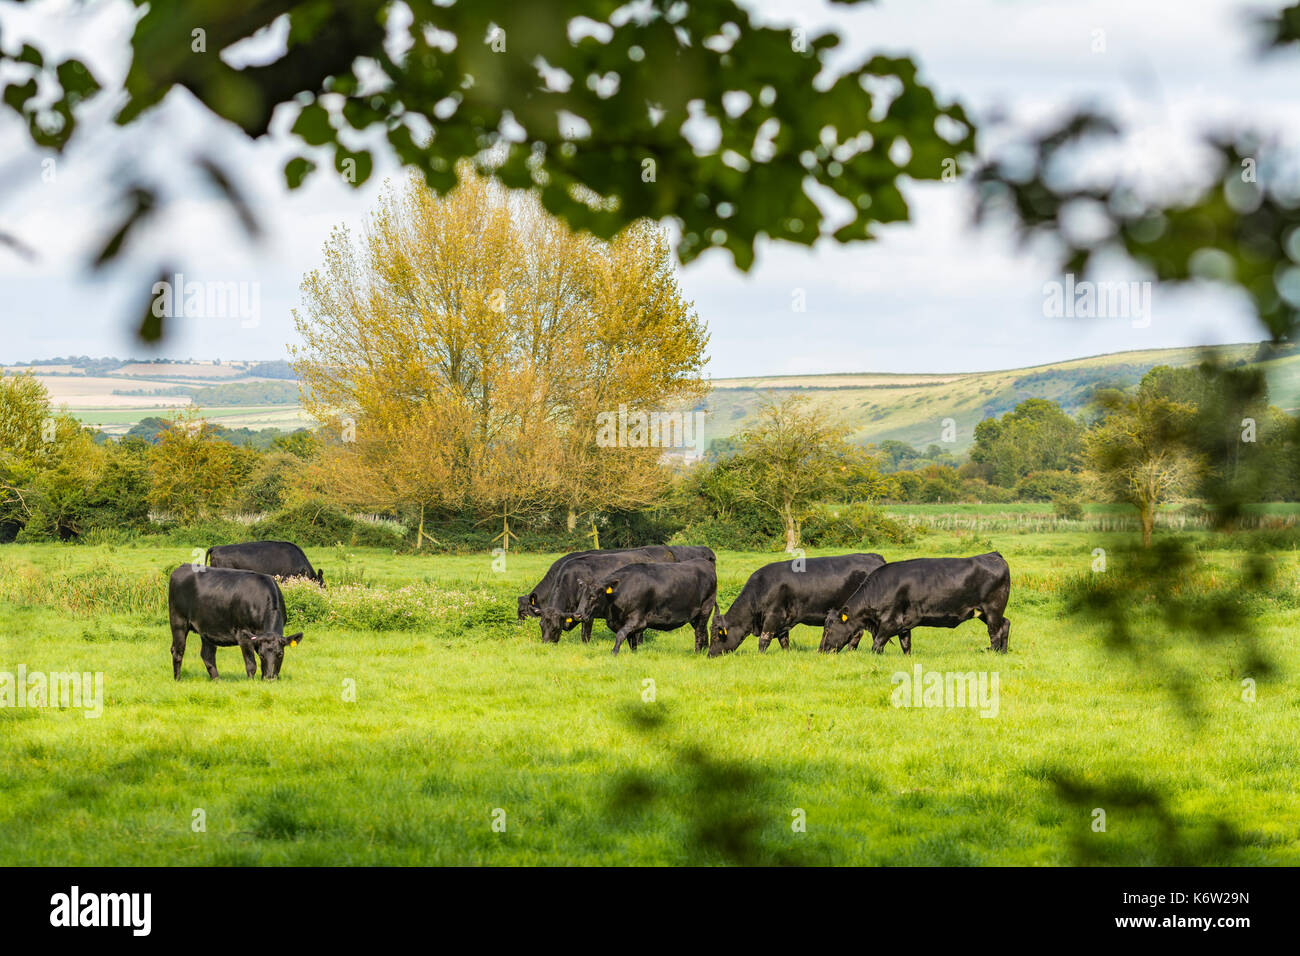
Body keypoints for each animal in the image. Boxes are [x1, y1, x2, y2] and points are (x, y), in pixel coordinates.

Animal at [167, 567, 304, 681]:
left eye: (280, 654)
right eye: (261, 655)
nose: (269, 678)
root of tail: (181, 568)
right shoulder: (243, 634)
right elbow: (251, 665)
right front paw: (252, 683)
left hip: (206, 627)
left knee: (207, 655)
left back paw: (217, 680)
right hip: (178, 621)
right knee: (178, 651)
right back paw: (178, 679)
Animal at [577, 556, 722, 655]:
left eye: (593, 596)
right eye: (581, 596)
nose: (578, 614)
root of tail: (704, 562)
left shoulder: (637, 619)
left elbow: (620, 635)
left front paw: (614, 652)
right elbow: (632, 641)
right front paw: (633, 654)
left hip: (706, 608)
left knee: (699, 631)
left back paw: (697, 652)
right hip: (695, 615)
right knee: (703, 630)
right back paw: (704, 650)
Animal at [707, 554, 889, 658]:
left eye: (716, 636)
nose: (709, 655)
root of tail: (874, 558)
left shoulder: (773, 616)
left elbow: (764, 640)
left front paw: (759, 657)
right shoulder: (783, 620)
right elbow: (784, 641)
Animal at [816, 554, 1008, 658]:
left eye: (828, 629)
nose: (820, 651)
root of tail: (993, 555)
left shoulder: (890, 621)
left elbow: (877, 644)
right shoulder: (904, 623)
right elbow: (906, 645)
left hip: (992, 609)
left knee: (994, 632)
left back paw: (994, 652)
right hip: (984, 612)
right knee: (1005, 624)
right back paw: (1003, 652)